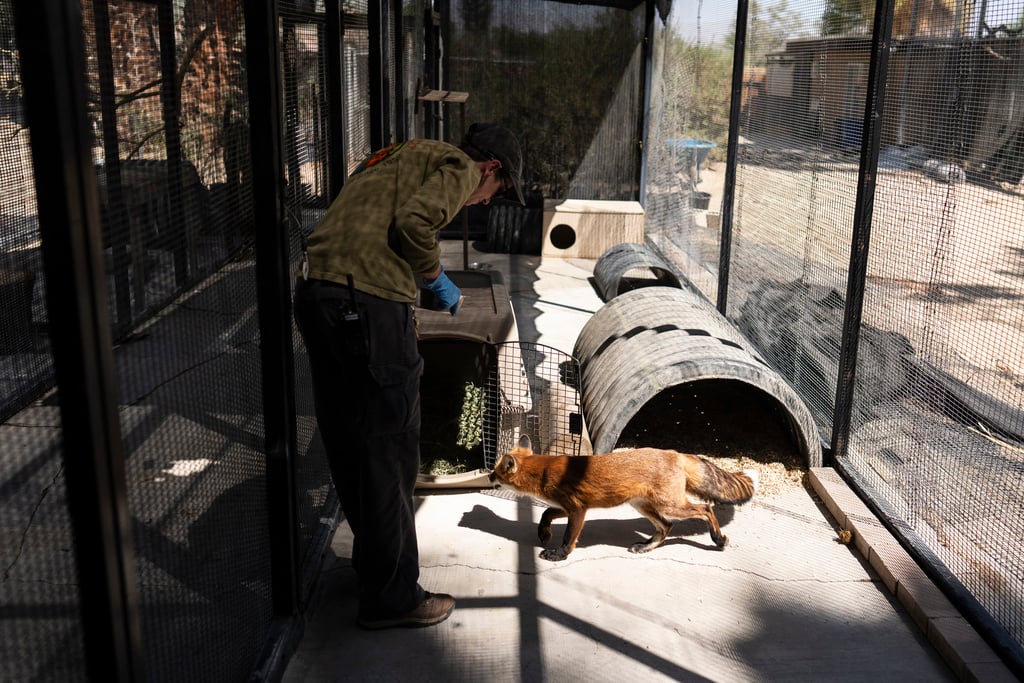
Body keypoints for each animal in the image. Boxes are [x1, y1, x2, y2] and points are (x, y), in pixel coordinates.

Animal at [487, 438, 753, 561]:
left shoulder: (577, 509)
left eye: (496, 471)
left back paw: (718, 539)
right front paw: (544, 533)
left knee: (706, 509)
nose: (488, 476)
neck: (543, 471)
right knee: (666, 527)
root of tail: (675, 453)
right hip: (644, 506)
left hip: (670, 505)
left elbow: (568, 538)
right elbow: (545, 513)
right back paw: (645, 547)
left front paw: (558, 555)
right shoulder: (570, 506)